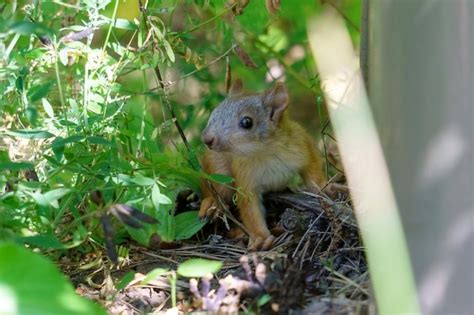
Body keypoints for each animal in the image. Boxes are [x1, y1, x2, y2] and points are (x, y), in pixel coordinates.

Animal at [199, 80, 326, 251]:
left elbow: (312, 170)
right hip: (217, 169)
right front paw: (260, 237)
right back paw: (212, 203)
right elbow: (250, 208)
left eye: (247, 122)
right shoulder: (245, 176)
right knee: (215, 188)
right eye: (214, 113)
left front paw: (324, 188)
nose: (207, 139)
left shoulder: (301, 143)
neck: (265, 151)